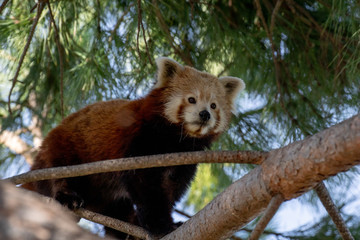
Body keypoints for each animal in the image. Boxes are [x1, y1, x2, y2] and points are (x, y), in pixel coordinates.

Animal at [29, 57, 246, 238]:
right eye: (192, 99)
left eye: (213, 105)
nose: (204, 114)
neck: (176, 140)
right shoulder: (140, 141)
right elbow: (144, 184)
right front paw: (161, 226)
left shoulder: (185, 160)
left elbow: (171, 189)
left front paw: (162, 222)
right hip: (65, 146)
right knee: (59, 170)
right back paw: (68, 196)